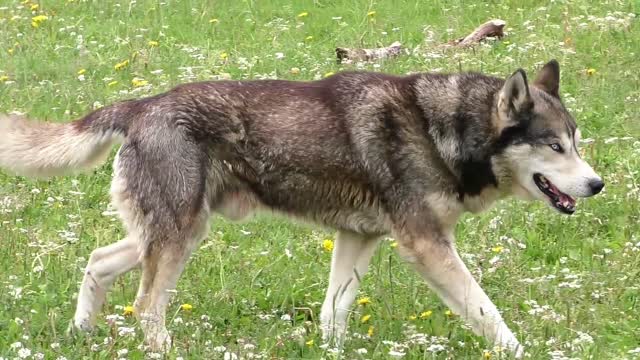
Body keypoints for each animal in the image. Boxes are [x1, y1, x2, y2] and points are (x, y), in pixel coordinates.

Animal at [0, 60, 604, 356]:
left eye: (576, 141)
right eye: (555, 147)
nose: (597, 184)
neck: (446, 131)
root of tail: (141, 105)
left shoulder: (358, 238)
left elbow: (334, 314)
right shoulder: (428, 246)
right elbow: (487, 313)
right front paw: (520, 351)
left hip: (171, 233)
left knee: (98, 263)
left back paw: (80, 335)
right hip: (175, 239)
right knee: (147, 308)